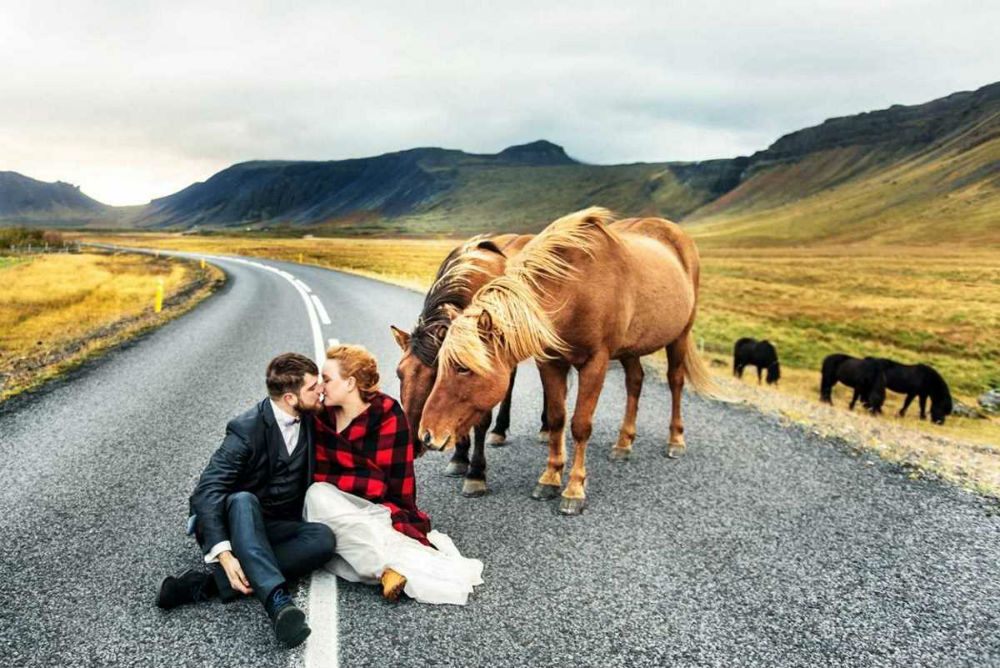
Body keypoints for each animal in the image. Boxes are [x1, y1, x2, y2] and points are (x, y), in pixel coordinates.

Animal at [418, 209, 716, 516]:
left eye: (463, 368)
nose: (426, 434)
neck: (575, 289)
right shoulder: (550, 363)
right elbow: (556, 419)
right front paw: (549, 478)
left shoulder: (595, 364)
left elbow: (580, 425)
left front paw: (574, 489)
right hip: (631, 349)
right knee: (635, 381)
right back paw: (623, 444)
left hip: (680, 336)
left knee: (675, 382)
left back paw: (675, 440)